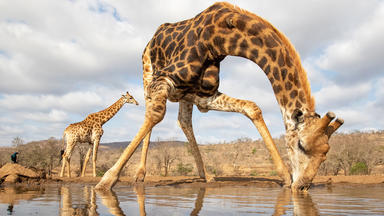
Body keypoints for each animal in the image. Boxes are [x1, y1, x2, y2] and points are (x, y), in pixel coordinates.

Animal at [95, 1, 342, 191]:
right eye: (301, 145)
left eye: (325, 153)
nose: (302, 186)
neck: (219, 40)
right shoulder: (164, 79)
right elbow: (155, 115)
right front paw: (106, 181)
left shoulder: (204, 95)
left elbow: (251, 107)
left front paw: (284, 176)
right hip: (148, 73)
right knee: (152, 113)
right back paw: (139, 174)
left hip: (184, 94)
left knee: (184, 121)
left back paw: (206, 175)